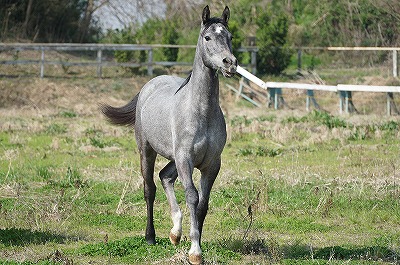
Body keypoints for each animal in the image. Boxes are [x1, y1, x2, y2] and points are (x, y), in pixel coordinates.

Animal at [101, 5, 238, 262]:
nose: (230, 63)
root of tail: (150, 85)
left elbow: (203, 204)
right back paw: (151, 237)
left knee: (165, 176)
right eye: (207, 37)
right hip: (147, 150)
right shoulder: (185, 159)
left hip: (174, 158)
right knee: (150, 188)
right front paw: (195, 251)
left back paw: (175, 232)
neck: (201, 112)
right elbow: (192, 196)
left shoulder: (211, 164)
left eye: (230, 37)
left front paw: (195, 242)